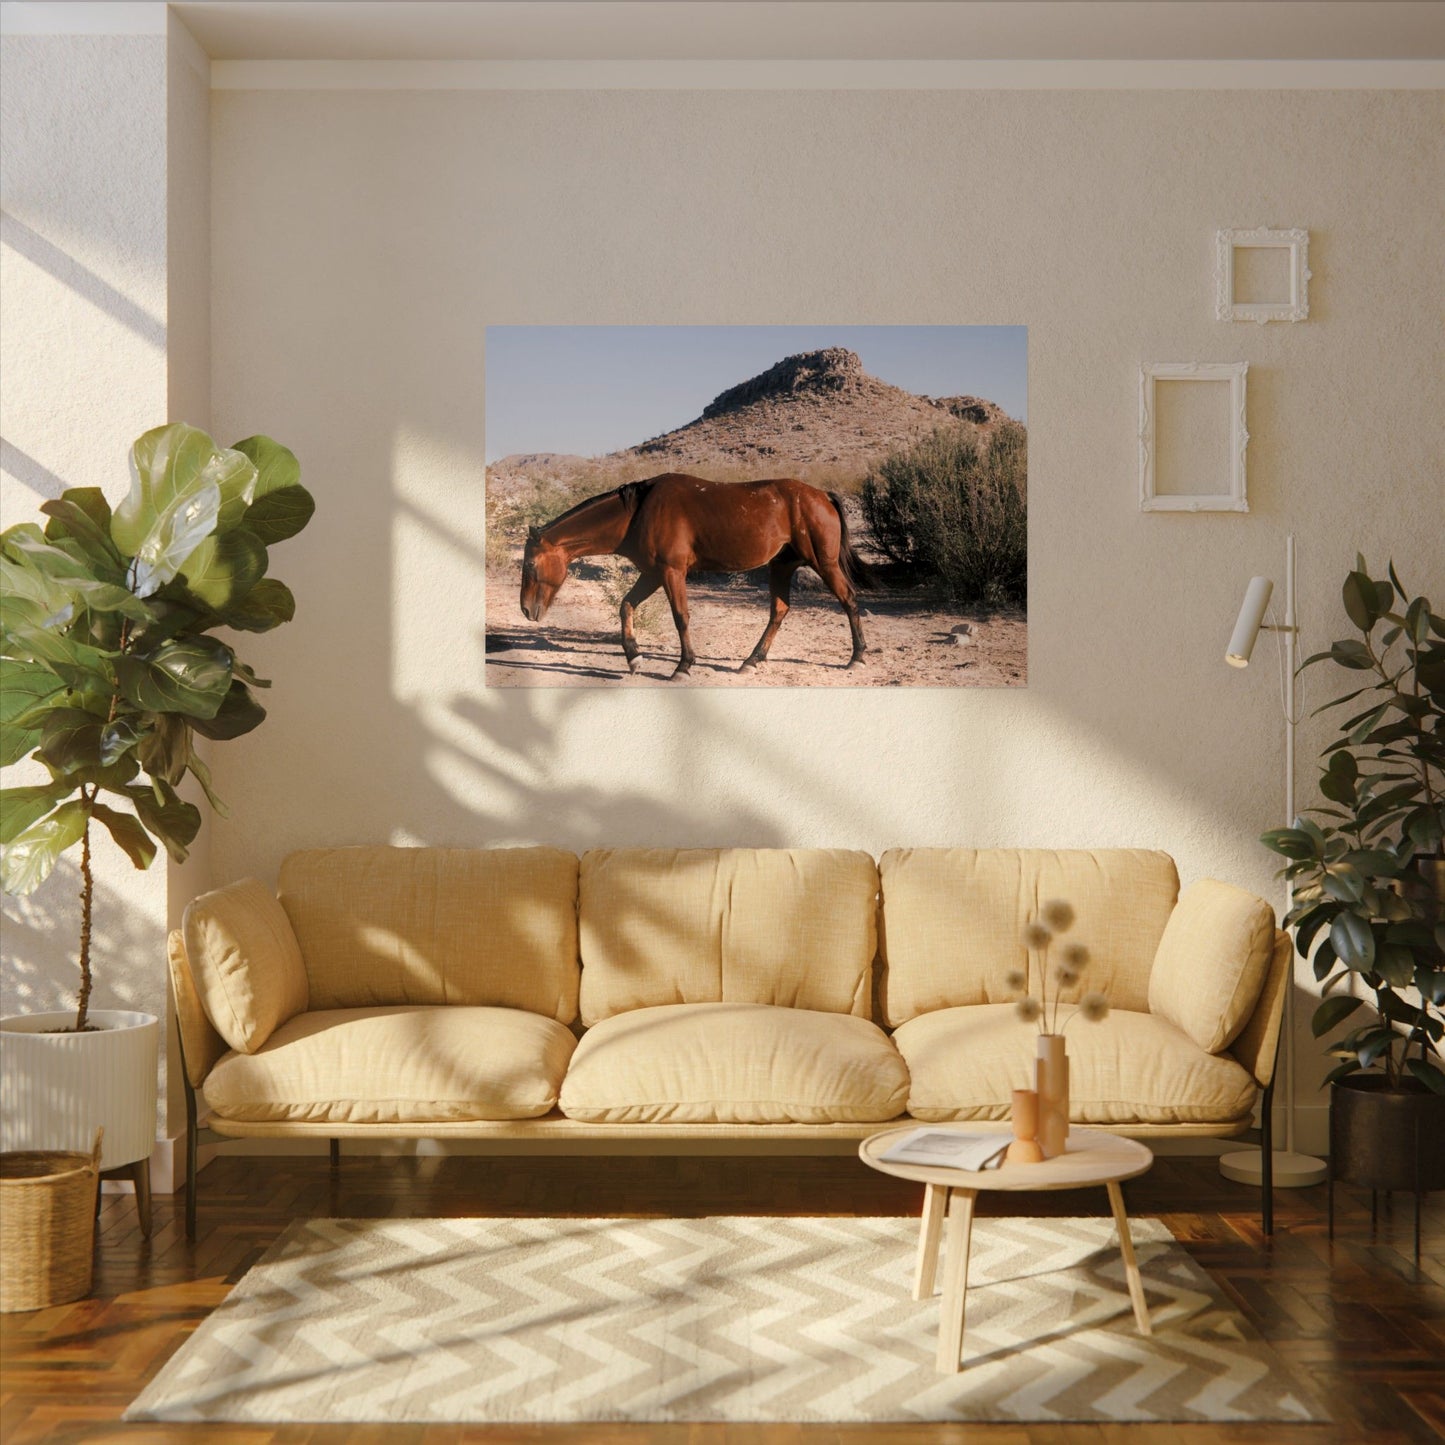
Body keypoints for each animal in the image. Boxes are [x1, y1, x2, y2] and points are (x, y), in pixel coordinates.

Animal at [519, 473, 871, 679]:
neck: (638, 513)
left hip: (823, 563)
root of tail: (822, 495)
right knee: (779, 611)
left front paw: (684, 665)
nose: (525, 610)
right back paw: (752, 660)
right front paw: (634, 657)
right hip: (781, 566)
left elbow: (681, 617)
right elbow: (626, 606)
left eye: (530, 565)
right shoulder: (652, 574)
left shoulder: (671, 572)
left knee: (849, 600)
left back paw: (857, 657)